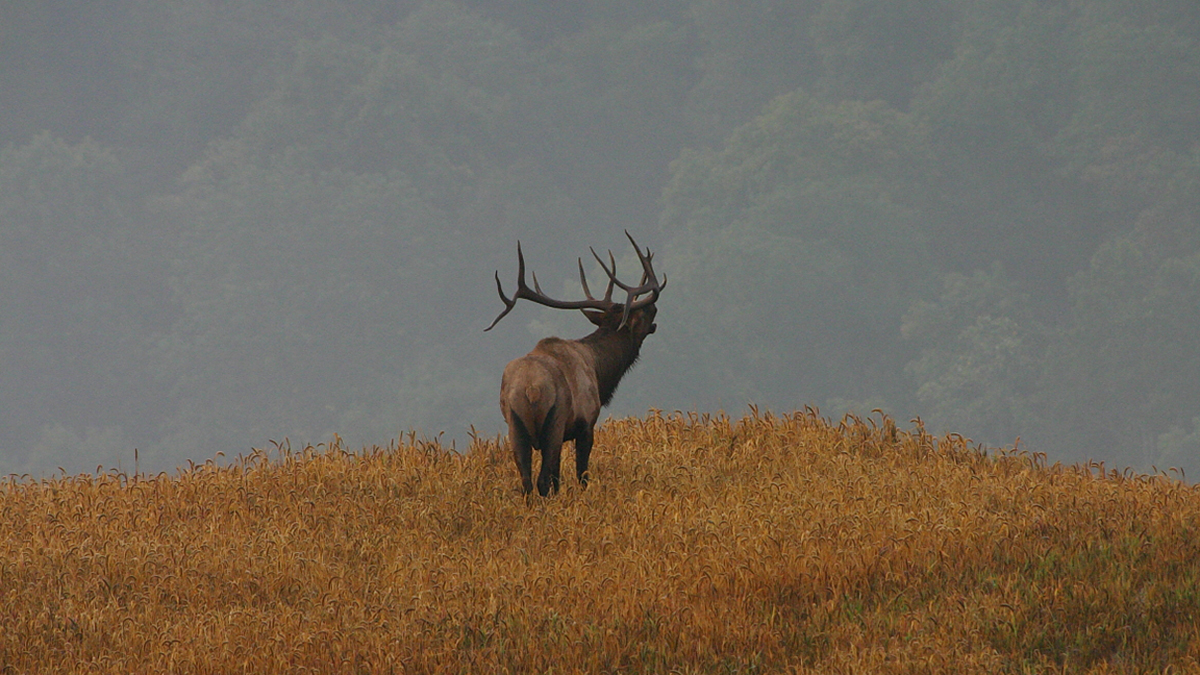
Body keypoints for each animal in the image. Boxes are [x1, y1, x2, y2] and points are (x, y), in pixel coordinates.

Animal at [484, 232, 666, 496]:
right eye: (642, 313)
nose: (654, 307)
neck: (601, 374)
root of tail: (530, 389)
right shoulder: (586, 424)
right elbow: (581, 475)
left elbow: (559, 478)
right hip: (554, 421)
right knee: (541, 480)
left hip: (515, 425)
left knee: (527, 481)